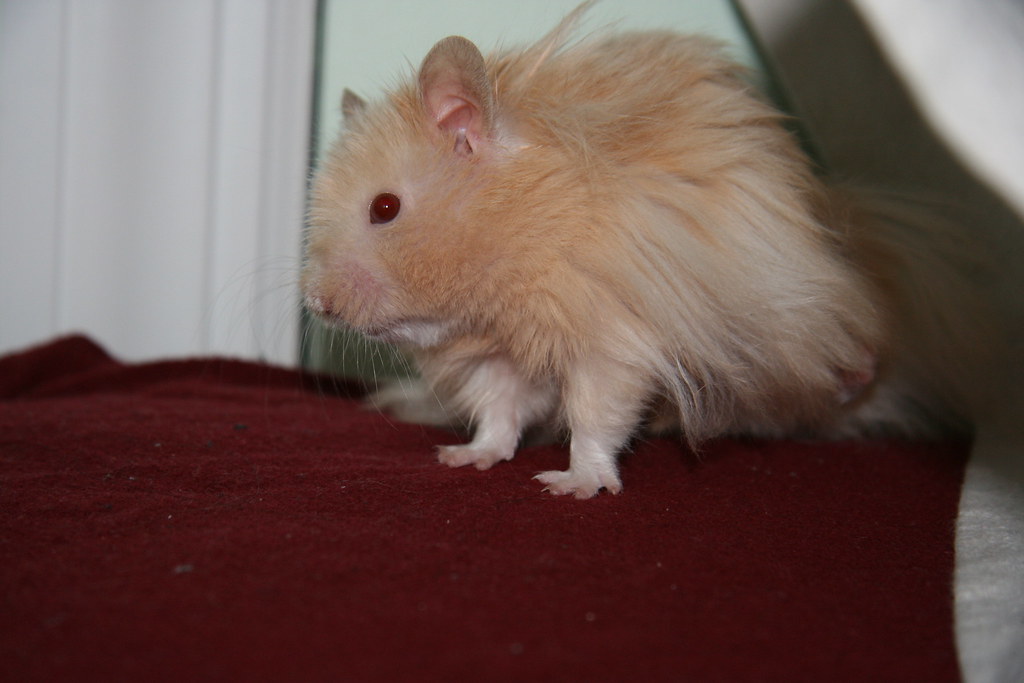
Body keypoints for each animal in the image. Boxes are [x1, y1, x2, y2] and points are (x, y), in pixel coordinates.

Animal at [302, 3, 993, 498]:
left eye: (384, 208)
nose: (319, 306)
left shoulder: (612, 340)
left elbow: (595, 416)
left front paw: (571, 486)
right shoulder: (500, 356)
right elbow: (499, 412)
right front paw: (464, 458)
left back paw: (857, 375)